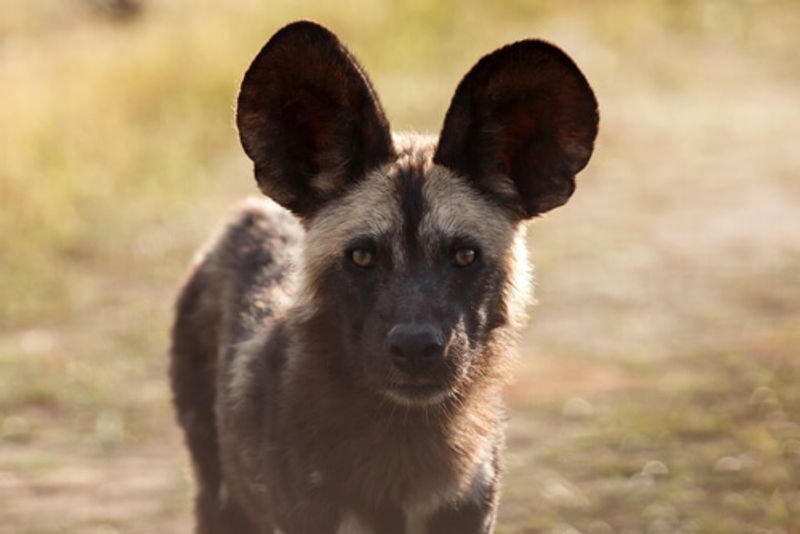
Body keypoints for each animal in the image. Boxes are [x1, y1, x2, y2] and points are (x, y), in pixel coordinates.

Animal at [170, 19, 592, 534]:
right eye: (362, 257)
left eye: (465, 255)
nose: (416, 348)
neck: (404, 443)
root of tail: (248, 213)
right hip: (222, 498)